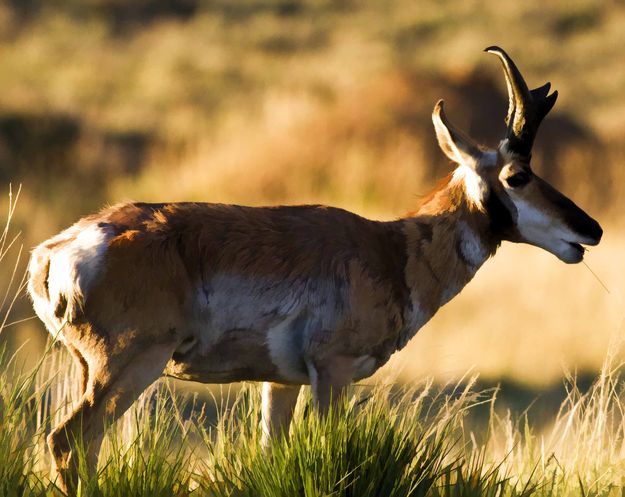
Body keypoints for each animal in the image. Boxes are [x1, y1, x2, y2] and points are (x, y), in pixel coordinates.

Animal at [28, 47, 600, 492]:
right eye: (518, 175)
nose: (590, 230)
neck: (391, 249)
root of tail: (57, 250)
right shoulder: (333, 373)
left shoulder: (279, 383)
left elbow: (270, 454)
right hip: (132, 365)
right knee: (70, 437)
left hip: (92, 369)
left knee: (79, 443)